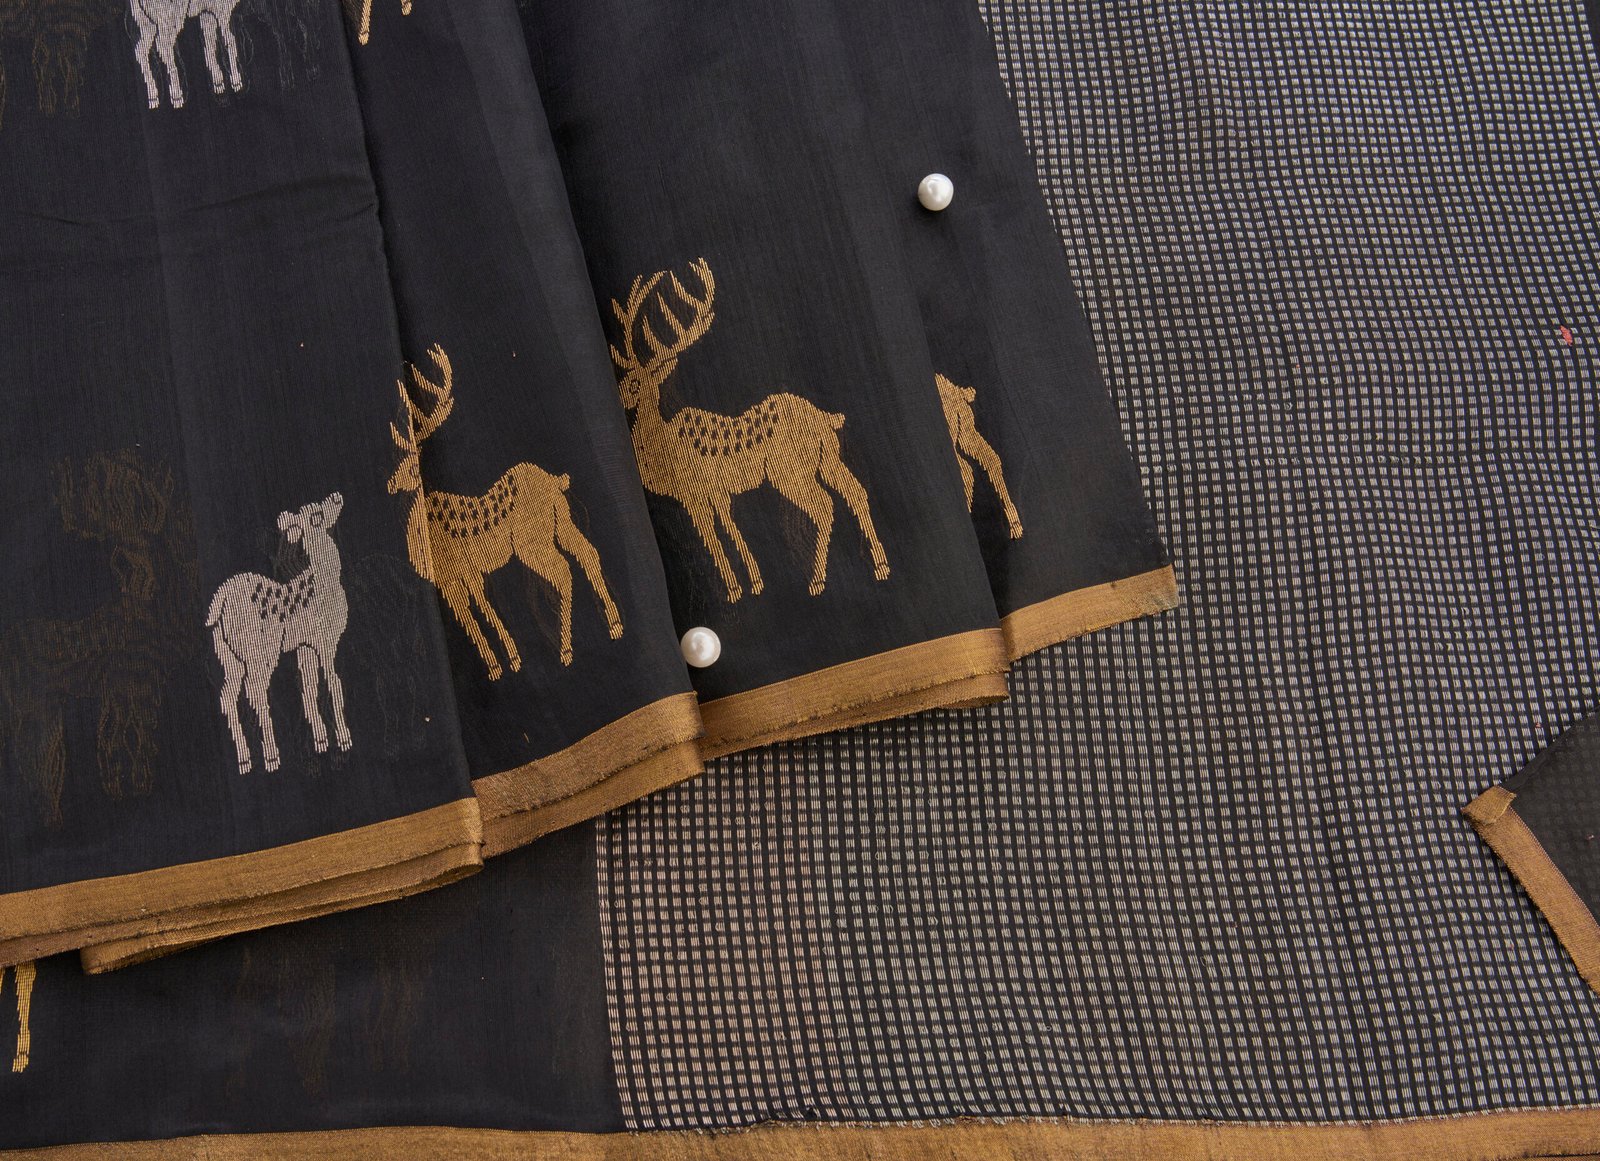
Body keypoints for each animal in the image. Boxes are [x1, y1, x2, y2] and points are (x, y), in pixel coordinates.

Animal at [206, 494, 352, 774]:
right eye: (315, 516)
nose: (336, 496)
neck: (325, 581)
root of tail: (219, 602)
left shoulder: (305, 645)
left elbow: (309, 688)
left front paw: (321, 742)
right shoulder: (326, 641)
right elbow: (333, 684)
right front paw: (343, 738)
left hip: (228, 657)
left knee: (227, 697)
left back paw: (245, 759)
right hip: (259, 652)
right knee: (256, 694)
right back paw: (271, 757)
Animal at [387, 345, 624, 679]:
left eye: (411, 467)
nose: (390, 483)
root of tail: (554, 480)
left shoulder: (457, 573)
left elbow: (478, 614)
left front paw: (505, 662)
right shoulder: (460, 578)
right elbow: (478, 613)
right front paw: (503, 662)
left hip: (531, 541)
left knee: (563, 571)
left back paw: (566, 650)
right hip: (562, 522)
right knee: (588, 553)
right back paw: (614, 625)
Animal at [609, 258, 890, 603]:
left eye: (635, 382)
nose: (618, 396)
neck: (660, 443)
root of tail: (824, 416)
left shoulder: (695, 493)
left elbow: (714, 538)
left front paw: (737, 588)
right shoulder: (715, 493)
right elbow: (730, 530)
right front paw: (753, 582)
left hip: (790, 471)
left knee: (825, 506)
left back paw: (817, 580)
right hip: (828, 457)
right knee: (856, 491)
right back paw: (879, 566)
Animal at [935, 373, 1024, 539]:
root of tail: (957, 391)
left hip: (957, 430)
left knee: (967, 467)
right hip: (965, 428)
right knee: (988, 460)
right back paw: (1014, 524)